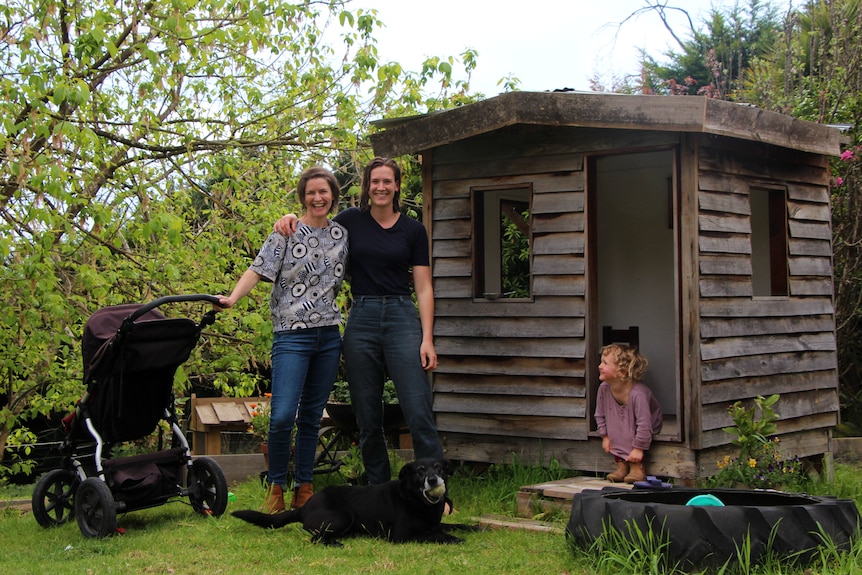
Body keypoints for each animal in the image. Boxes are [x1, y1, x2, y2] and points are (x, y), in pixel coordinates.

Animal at [233, 460, 482, 544]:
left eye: (439, 468)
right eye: (420, 471)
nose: (432, 479)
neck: (416, 499)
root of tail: (304, 507)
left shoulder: (435, 521)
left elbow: (453, 525)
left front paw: (475, 527)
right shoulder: (401, 536)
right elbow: (434, 534)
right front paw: (453, 538)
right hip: (343, 516)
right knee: (315, 538)